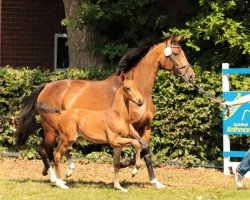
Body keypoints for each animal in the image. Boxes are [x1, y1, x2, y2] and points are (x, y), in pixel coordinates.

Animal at [16, 33, 195, 189]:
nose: (191, 76)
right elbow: (142, 147)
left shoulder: (145, 127)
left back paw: (66, 171)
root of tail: (46, 86)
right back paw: (55, 178)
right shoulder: (130, 126)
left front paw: (155, 182)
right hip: (51, 129)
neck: (139, 91)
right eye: (176, 53)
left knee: (55, 150)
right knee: (45, 150)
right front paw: (128, 166)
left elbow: (146, 150)